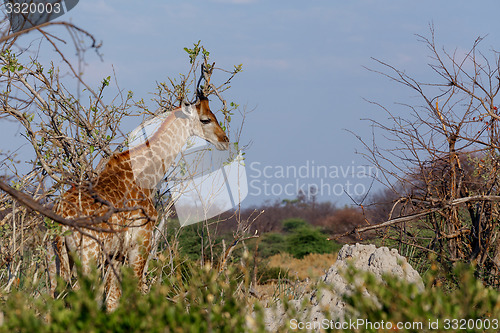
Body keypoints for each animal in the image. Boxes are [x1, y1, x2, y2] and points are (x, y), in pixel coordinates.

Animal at [46, 92, 229, 310]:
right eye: (205, 119)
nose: (225, 140)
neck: (146, 172)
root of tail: (61, 219)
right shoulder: (140, 242)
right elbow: (132, 292)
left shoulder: (116, 254)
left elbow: (111, 299)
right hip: (87, 256)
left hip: (56, 258)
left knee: (53, 298)